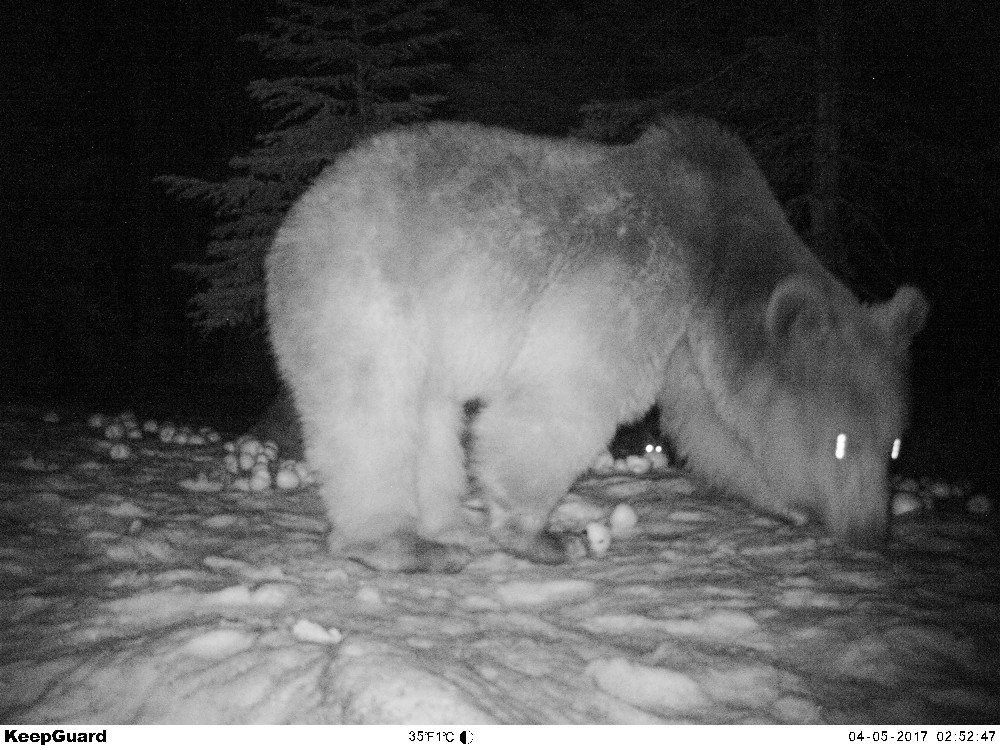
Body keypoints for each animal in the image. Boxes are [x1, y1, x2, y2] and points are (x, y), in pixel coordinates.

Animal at [268, 119, 928, 576]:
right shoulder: (642, 275)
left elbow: (712, 427)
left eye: (895, 445)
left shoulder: (688, 346)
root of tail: (296, 220)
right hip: (367, 296)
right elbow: (566, 393)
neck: (719, 251)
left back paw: (445, 525)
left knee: (430, 421)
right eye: (839, 442)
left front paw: (787, 504)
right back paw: (396, 543)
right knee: (373, 414)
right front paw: (540, 535)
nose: (873, 533)